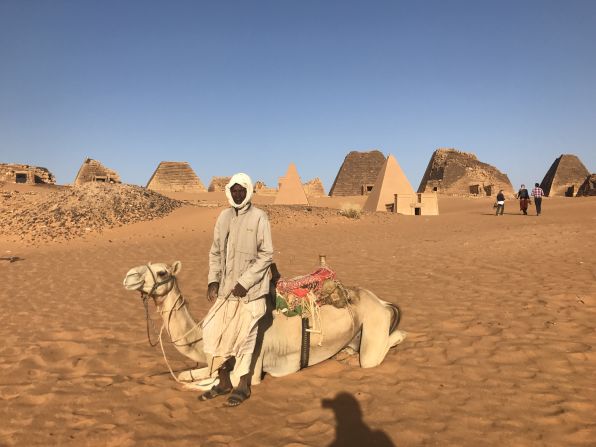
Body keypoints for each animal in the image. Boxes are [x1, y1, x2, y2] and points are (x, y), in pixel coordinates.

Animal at [123, 262, 408, 388]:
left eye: (162, 272)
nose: (128, 276)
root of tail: (380, 301)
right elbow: (187, 375)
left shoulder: (252, 365)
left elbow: (214, 380)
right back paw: (344, 356)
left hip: (374, 327)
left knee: (380, 349)